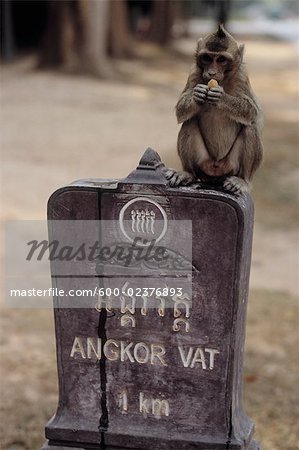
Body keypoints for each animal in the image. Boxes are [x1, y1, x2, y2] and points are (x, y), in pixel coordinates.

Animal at [168, 24, 264, 193]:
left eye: (221, 60)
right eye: (207, 58)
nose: (211, 72)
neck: (223, 80)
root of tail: (216, 170)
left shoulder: (241, 75)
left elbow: (252, 111)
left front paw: (221, 97)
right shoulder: (194, 71)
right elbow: (181, 111)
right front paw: (196, 96)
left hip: (231, 166)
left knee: (250, 128)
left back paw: (242, 180)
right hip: (203, 163)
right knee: (189, 122)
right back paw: (188, 173)